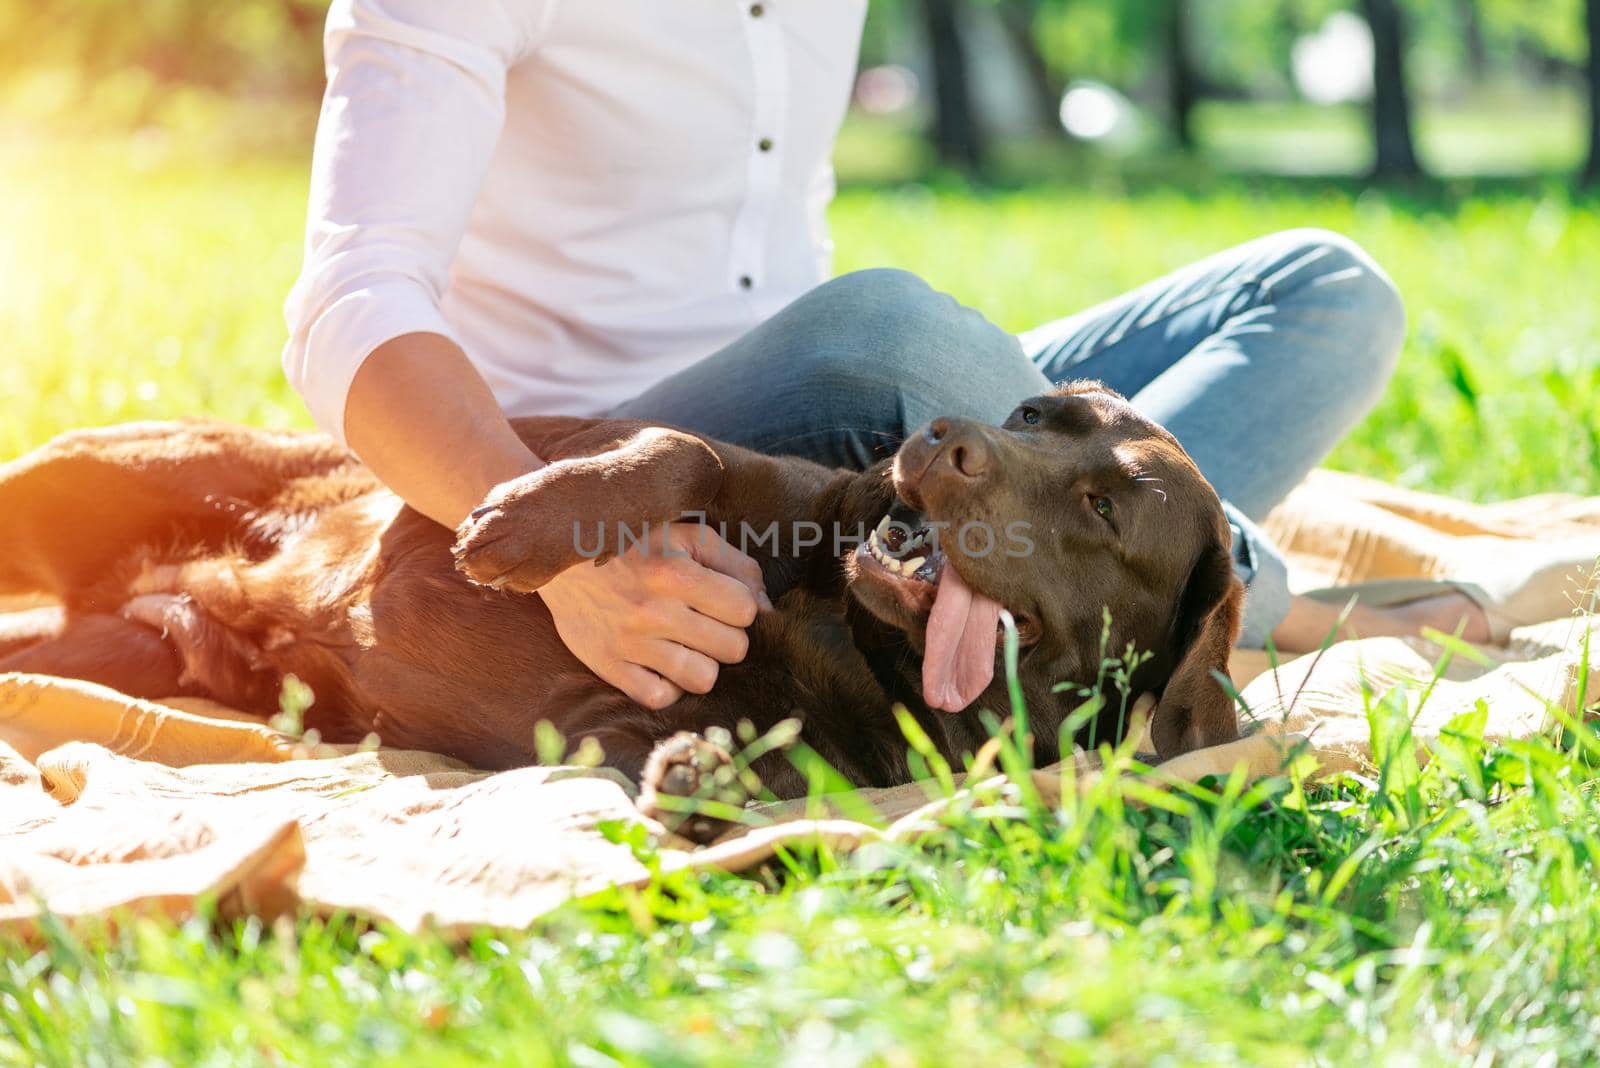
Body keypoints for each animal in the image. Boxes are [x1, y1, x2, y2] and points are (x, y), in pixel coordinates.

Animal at [0, 378, 1241, 837]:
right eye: (1033, 413)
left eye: (1103, 507)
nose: (943, 439)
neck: (865, 643)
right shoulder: (754, 492)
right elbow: (683, 451)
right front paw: (530, 519)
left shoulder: (613, 728)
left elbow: (758, 772)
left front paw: (707, 782)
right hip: (75, 472)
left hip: (130, 648)